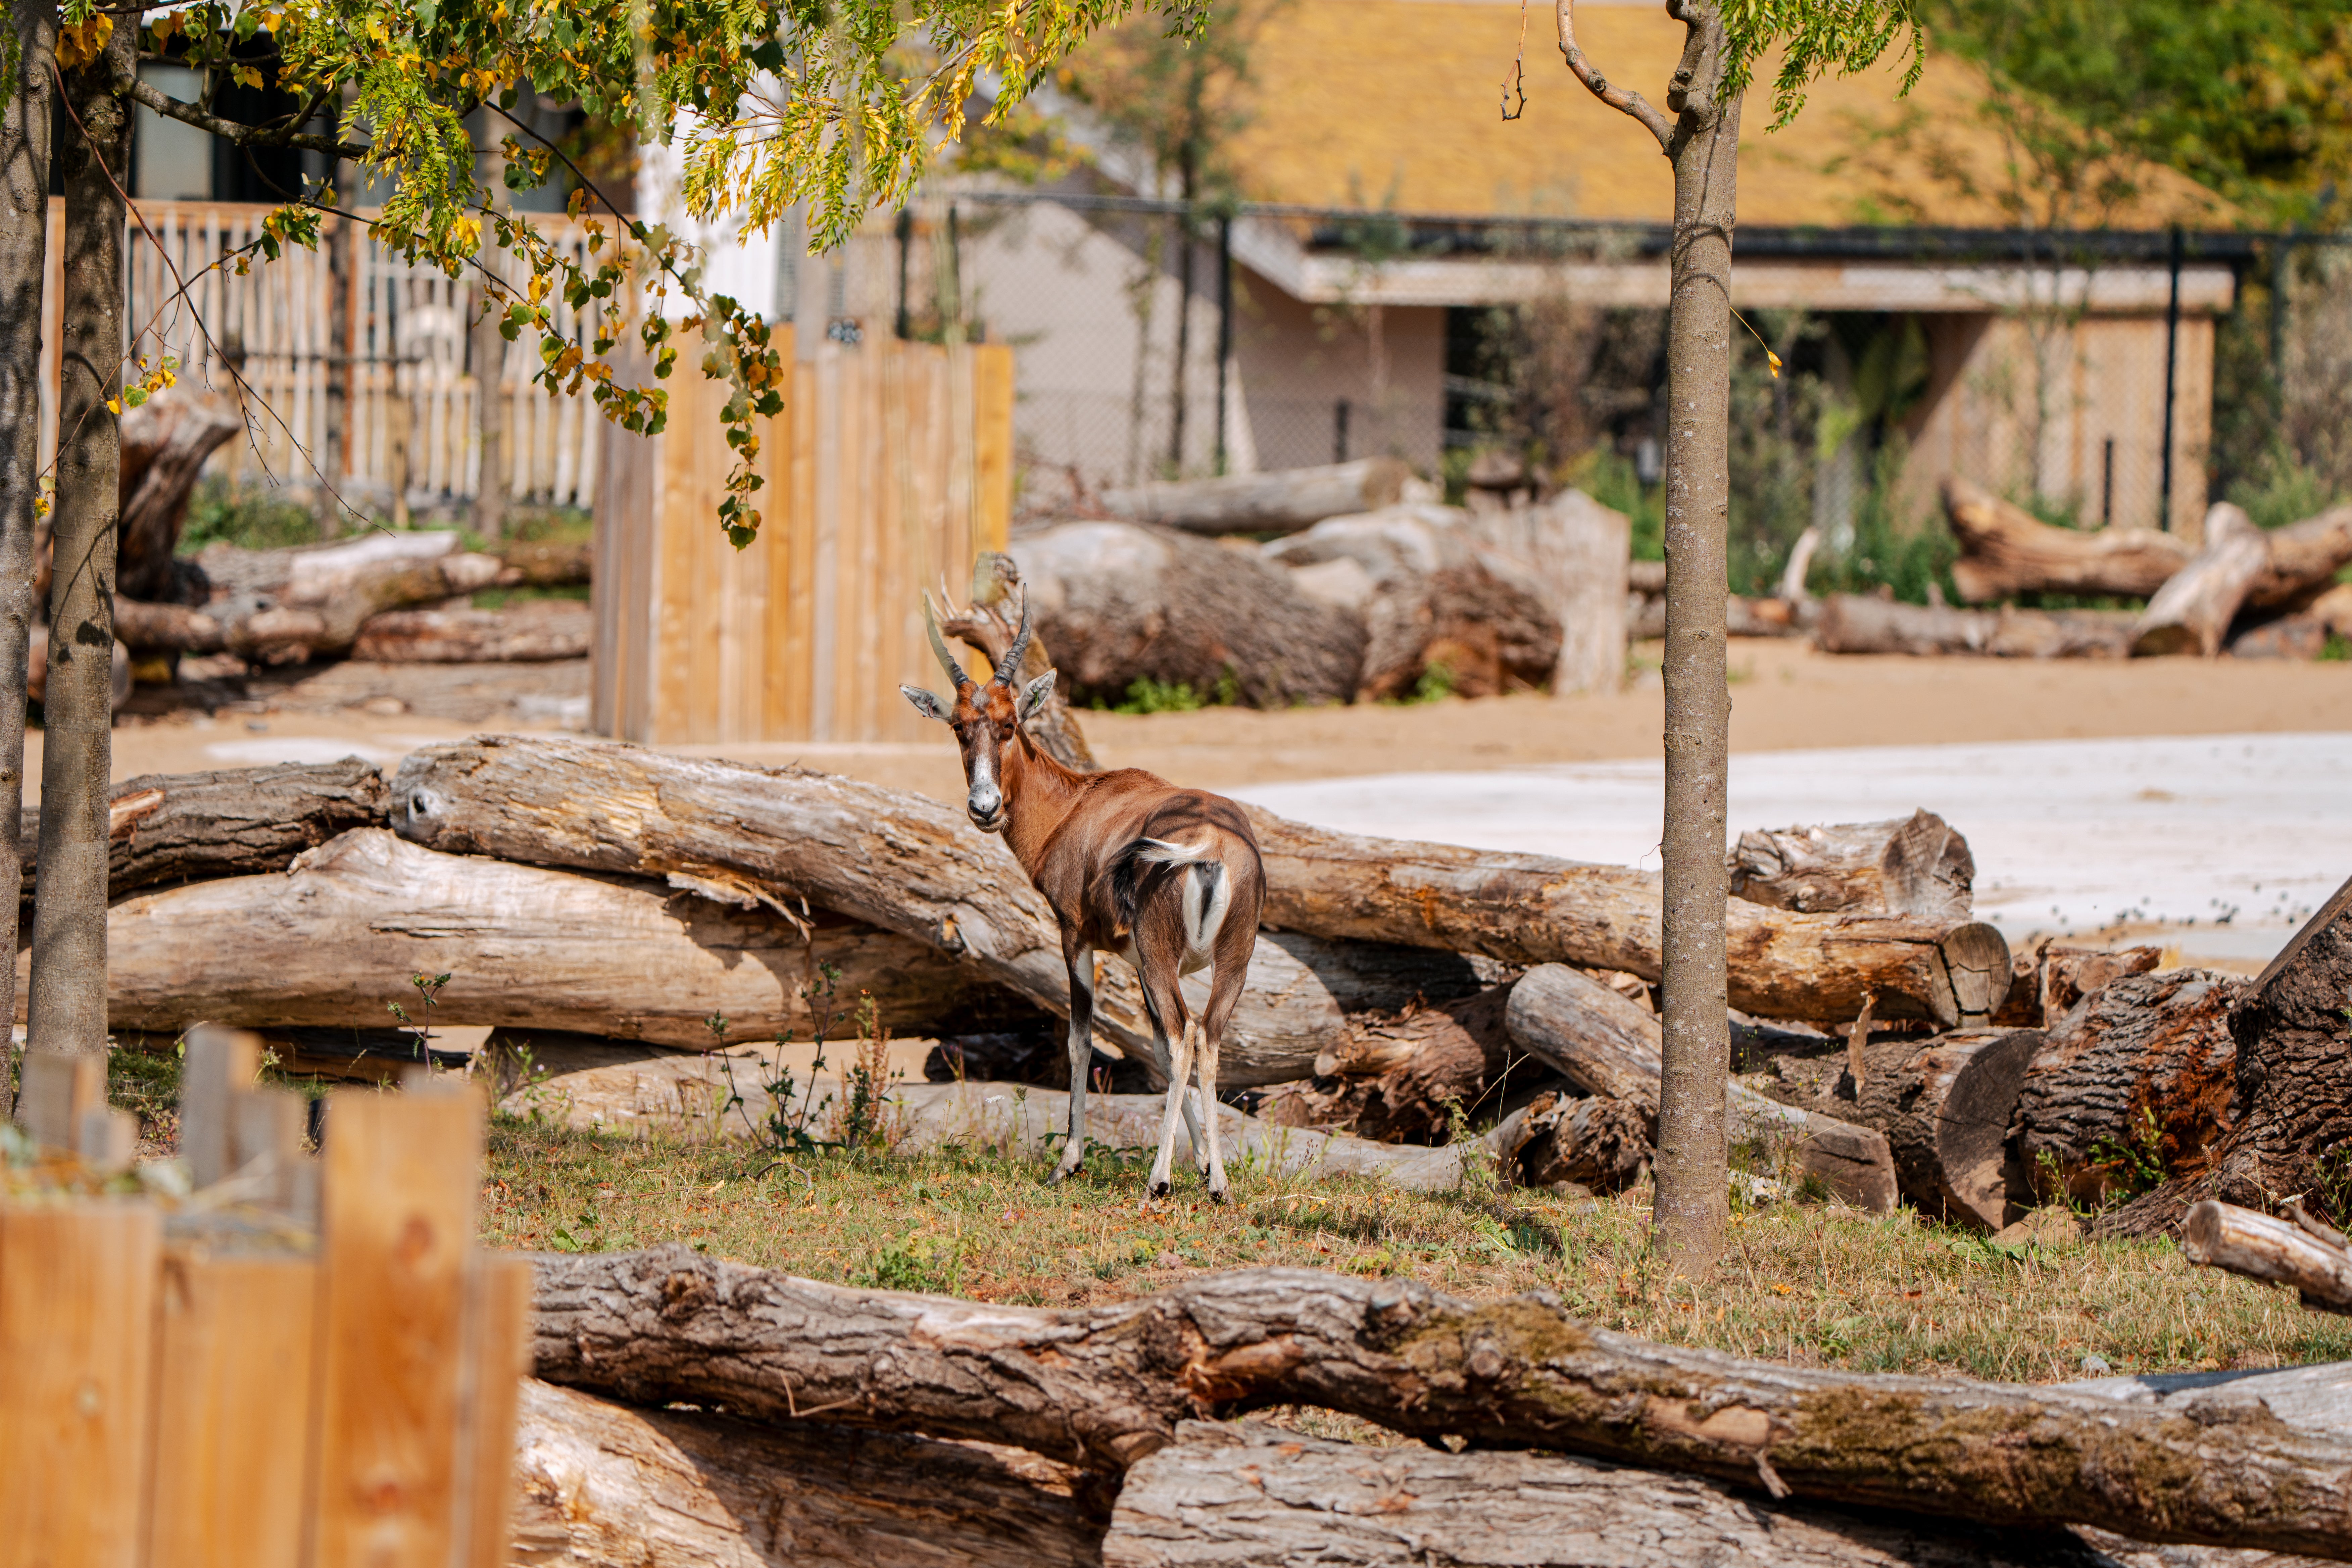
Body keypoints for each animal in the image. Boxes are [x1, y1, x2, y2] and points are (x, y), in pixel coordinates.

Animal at [901, 597, 1264, 1201]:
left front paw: (1067, 1162)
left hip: (1166, 957)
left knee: (1184, 1034)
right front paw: (1205, 1164)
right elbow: (1156, 1050)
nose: (984, 807)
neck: (1078, 804)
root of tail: (1211, 845)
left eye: (1009, 724)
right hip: (1230, 960)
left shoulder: (1076, 937)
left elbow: (1082, 1039)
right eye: (958, 726)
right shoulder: (1136, 959)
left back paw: (1157, 1181)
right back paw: (1219, 1186)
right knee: (1206, 1037)